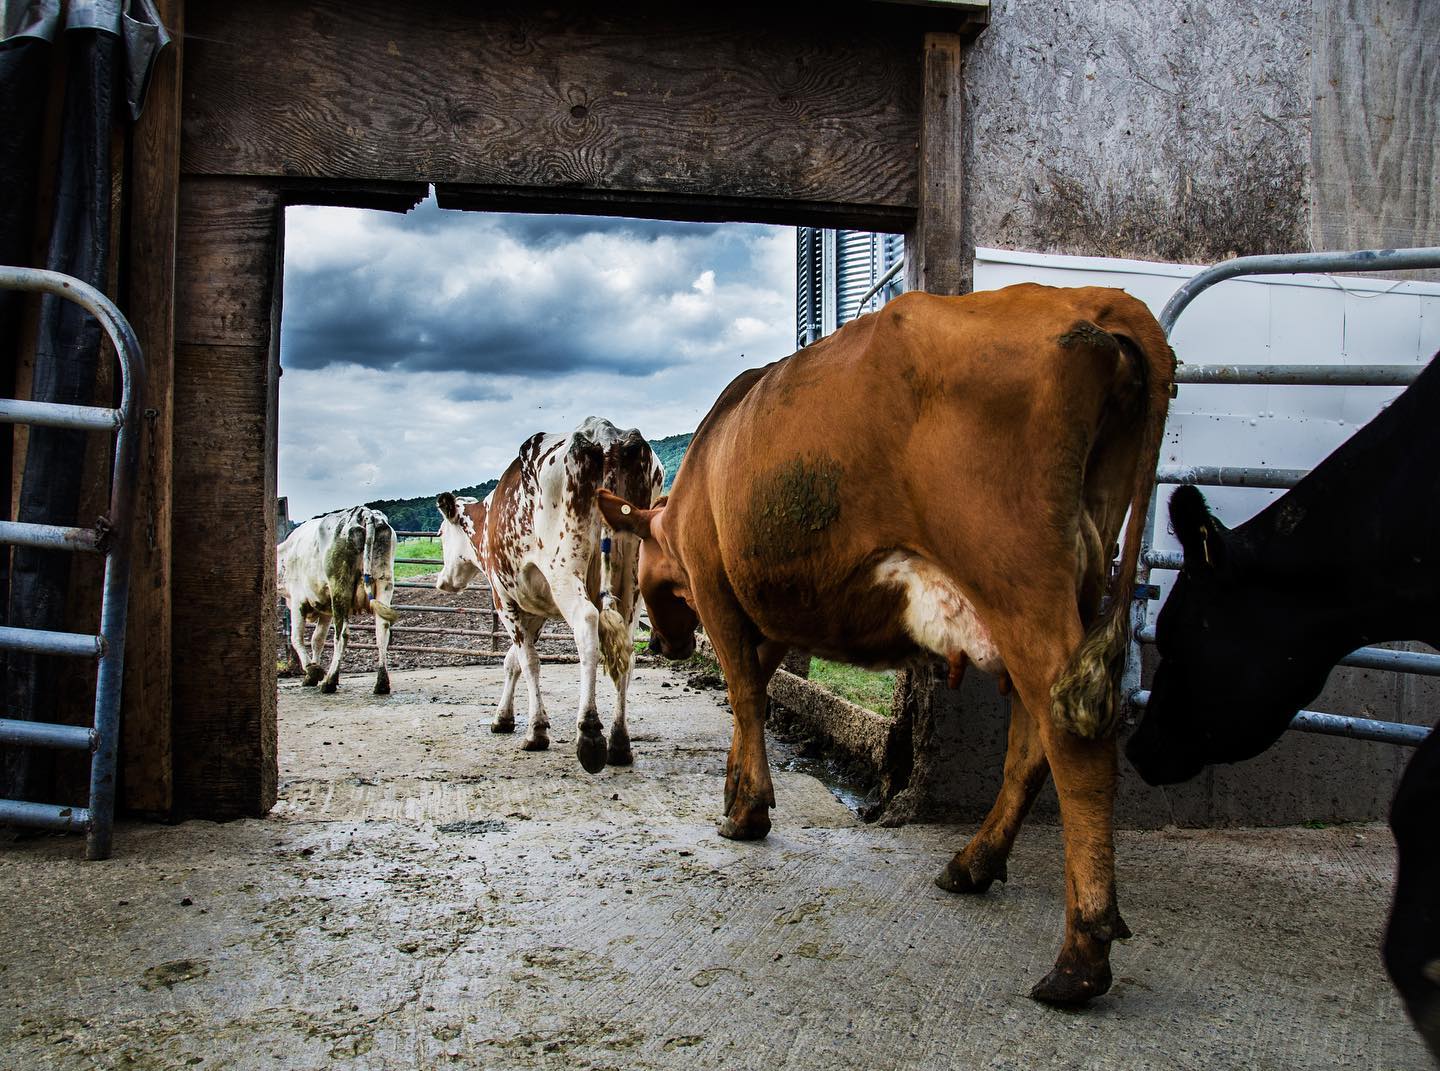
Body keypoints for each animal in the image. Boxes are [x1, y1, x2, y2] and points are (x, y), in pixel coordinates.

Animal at [277, 503, 400, 693]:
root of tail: (365, 514)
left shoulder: (298, 602)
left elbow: (297, 638)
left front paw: (312, 671)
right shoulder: (325, 609)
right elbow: (317, 640)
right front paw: (312, 673)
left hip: (340, 587)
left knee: (341, 635)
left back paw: (330, 681)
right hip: (384, 583)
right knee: (382, 631)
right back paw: (381, 683)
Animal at [434, 414, 665, 771]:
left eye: (442, 532)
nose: (442, 581)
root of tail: (605, 435)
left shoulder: (506, 600)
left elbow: (527, 661)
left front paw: (536, 730)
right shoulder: (535, 609)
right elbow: (512, 660)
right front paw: (503, 718)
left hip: (565, 572)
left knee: (587, 625)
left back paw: (590, 732)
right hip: (632, 582)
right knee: (626, 650)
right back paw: (619, 741)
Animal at [601, 285, 1175, 1001]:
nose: (666, 645)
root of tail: (1085, 299)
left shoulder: (718, 590)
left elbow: (745, 695)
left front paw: (747, 811)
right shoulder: (769, 617)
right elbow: (752, 694)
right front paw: (738, 787)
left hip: (1018, 581)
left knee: (1073, 739)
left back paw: (1082, 954)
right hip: (1077, 580)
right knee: (1033, 741)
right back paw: (974, 863)